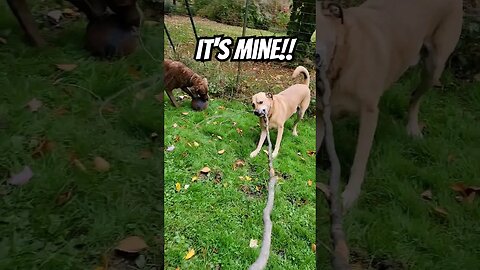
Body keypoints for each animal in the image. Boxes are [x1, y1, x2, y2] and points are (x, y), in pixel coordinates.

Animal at [316, 0, 464, 210]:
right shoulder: (321, 117)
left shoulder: (369, 113)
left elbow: (359, 160)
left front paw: (350, 196)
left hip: (434, 66)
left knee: (415, 97)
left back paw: (413, 129)